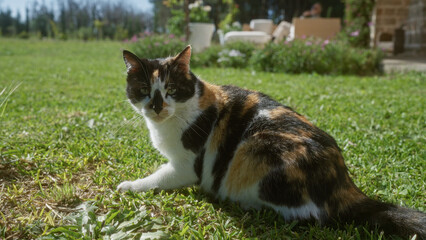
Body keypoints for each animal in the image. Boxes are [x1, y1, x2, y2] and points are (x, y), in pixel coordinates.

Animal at [117, 46, 426, 238]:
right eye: (144, 90)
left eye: (171, 89)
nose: (157, 106)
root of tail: (344, 184)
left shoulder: (186, 166)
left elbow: (158, 178)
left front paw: (130, 185)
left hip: (256, 147)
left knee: (312, 216)